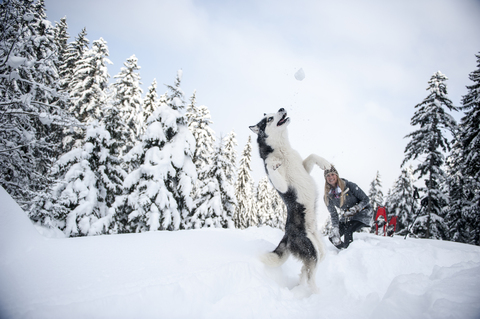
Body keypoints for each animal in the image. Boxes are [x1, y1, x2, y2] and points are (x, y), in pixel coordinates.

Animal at [251, 109, 330, 294]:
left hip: (319, 248)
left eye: (273, 112)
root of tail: (287, 235)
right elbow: (271, 169)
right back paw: (315, 293)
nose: (282, 109)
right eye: (269, 118)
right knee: (310, 276)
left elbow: (312, 155)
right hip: (311, 250)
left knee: (307, 268)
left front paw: (325, 164)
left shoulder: (304, 166)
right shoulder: (283, 186)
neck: (282, 150)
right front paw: (273, 165)